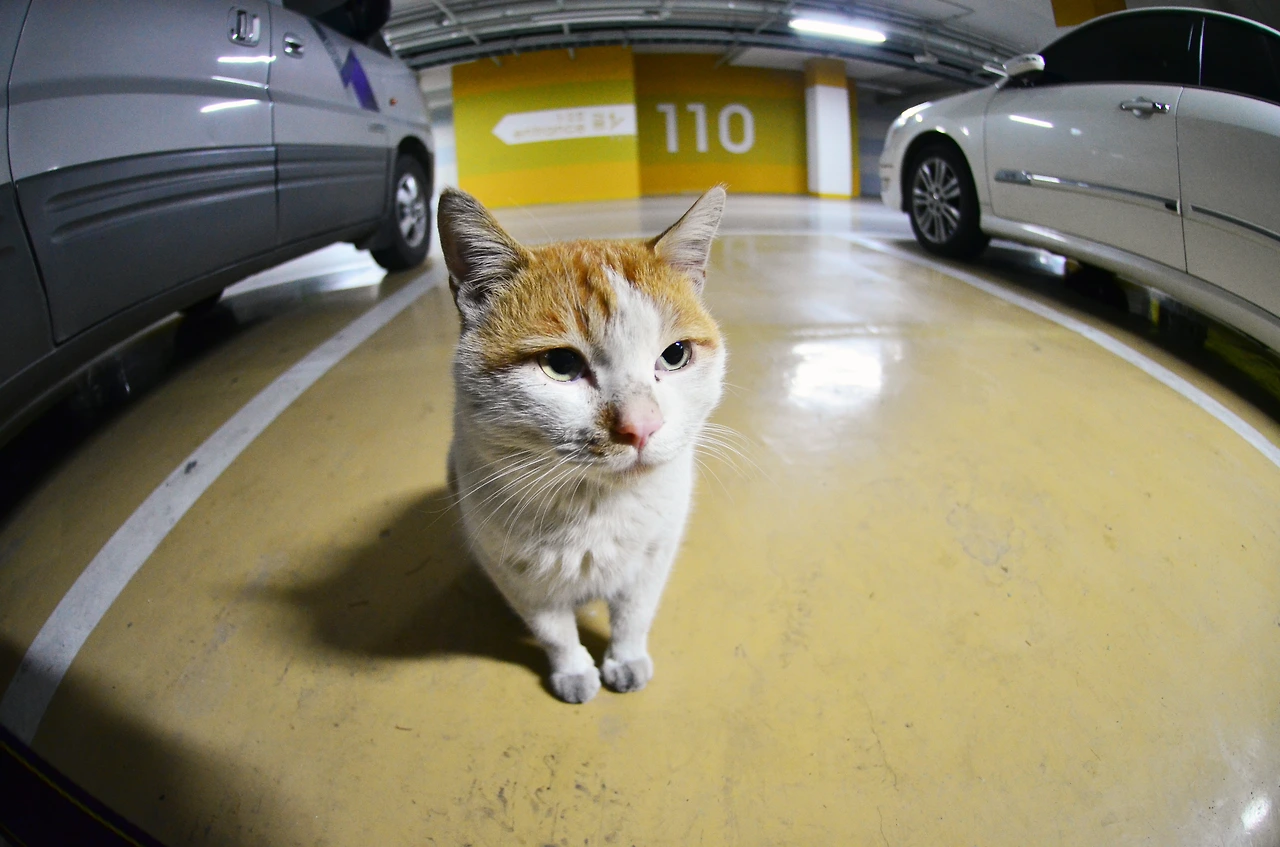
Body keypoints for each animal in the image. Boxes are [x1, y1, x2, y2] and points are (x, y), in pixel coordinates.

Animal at [437, 186, 727, 703]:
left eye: (675, 355)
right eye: (561, 363)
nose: (642, 426)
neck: (595, 506)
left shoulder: (654, 556)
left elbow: (634, 616)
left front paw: (625, 660)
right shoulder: (518, 576)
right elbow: (554, 631)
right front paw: (573, 672)